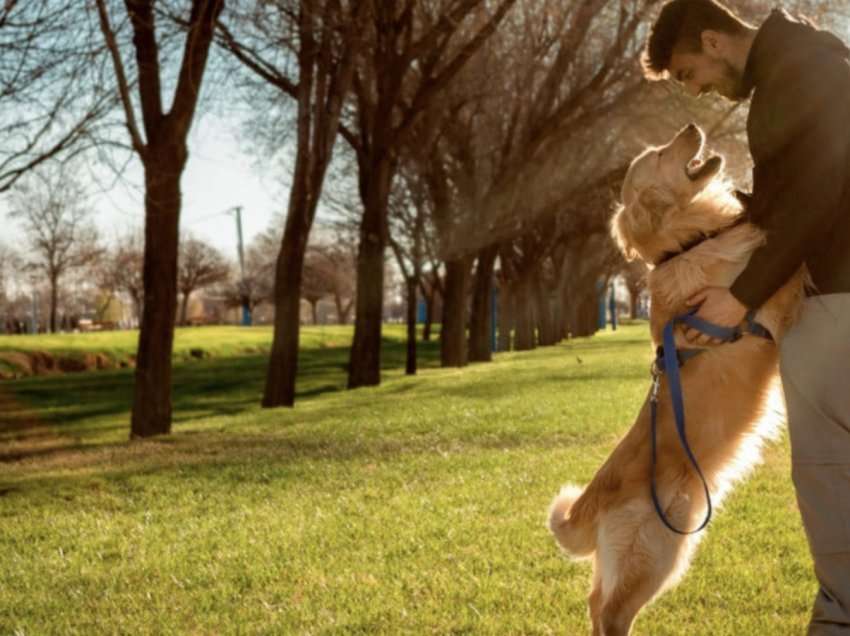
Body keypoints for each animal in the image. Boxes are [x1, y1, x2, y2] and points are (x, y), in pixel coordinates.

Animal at [548, 124, 804, 636]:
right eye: (662, 154)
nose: (691, 127)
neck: (690, 243)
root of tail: (593, 499)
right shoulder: (768, 298)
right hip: (657, 549)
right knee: (612, 612)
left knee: (594, 600)